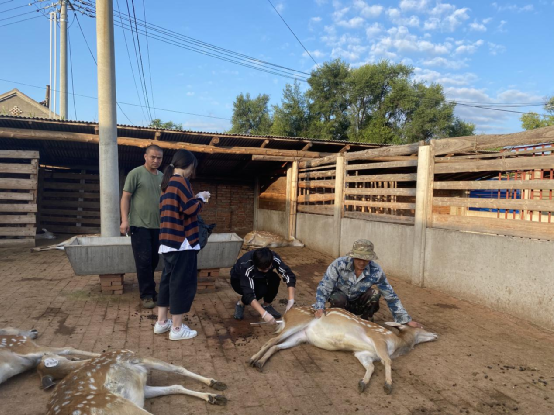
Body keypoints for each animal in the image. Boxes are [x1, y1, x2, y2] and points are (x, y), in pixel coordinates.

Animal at [249, 308, 436, 394]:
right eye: (420, 327)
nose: (435, 334)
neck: (396, 345)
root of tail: (285, 315)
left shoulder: (362, 353)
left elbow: (371, 366)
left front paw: (362, 383)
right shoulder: (378, 339)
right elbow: (387, 361)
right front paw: (388, 385)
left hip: (300, 336)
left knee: (276, 345)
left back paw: (260, 362)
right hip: (297, 322)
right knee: (271, 340)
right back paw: (252, 359)